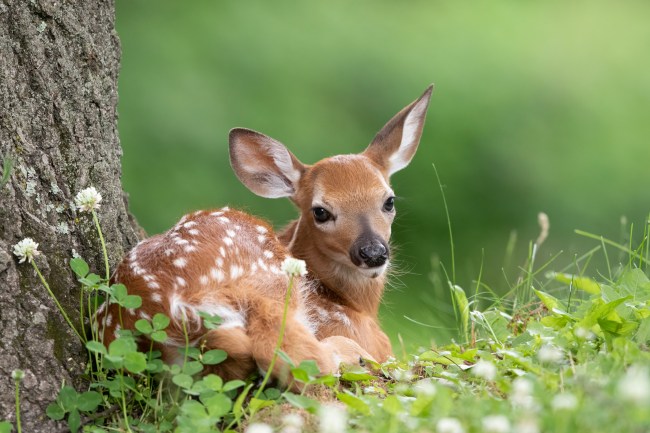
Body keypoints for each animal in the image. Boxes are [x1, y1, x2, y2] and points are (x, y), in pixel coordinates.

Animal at [96, 85, 433, 383]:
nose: (373, 252)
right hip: (268, 284)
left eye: (389, 201)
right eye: (320, 211)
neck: (352, 304)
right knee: (292, 355)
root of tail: (171, 310)